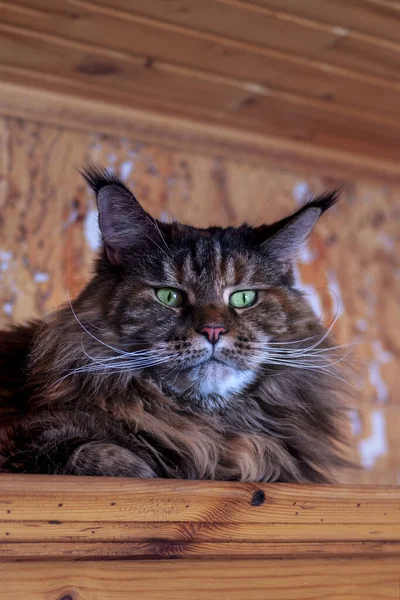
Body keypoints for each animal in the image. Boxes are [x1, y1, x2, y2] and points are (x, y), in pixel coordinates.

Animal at [0, 165, 348, 482]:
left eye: (244, 297)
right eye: (169, 296)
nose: (213, 331)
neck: (208, 432)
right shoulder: (22, 441)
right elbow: (104, 455)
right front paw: (144, 469)